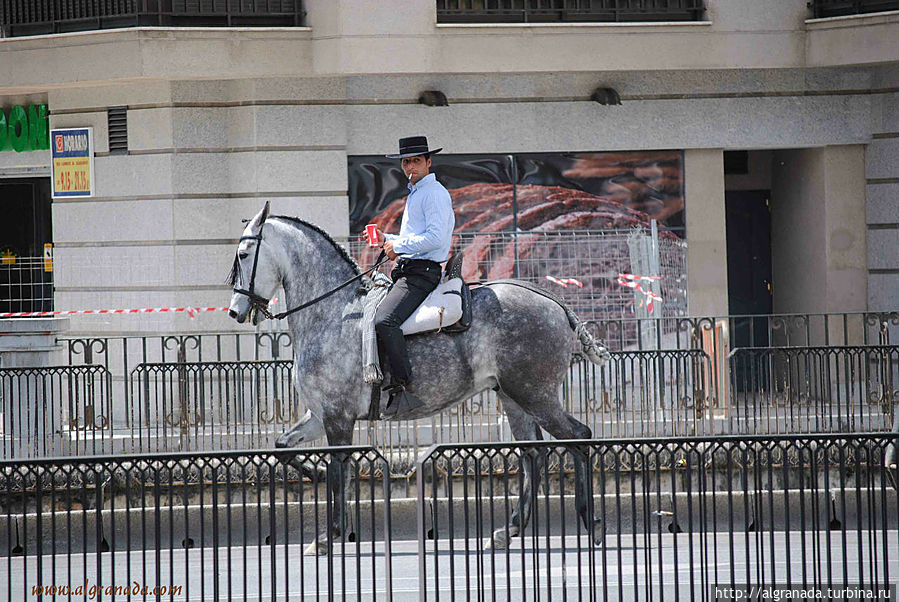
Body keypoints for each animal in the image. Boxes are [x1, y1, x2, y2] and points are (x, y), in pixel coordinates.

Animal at [229, 203, 616, 552]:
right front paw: (318, 477)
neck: (334, 314)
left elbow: (340, 473)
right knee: (532, 456)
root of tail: (555, 304)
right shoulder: (320, 416)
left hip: (537, 395)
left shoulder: (338, 419)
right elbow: (285, 449)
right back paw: (509, 531)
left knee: (578, 437)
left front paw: (330, 535)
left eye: (244, 254)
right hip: (513, 397)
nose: (235, 311)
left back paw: (592, 524)